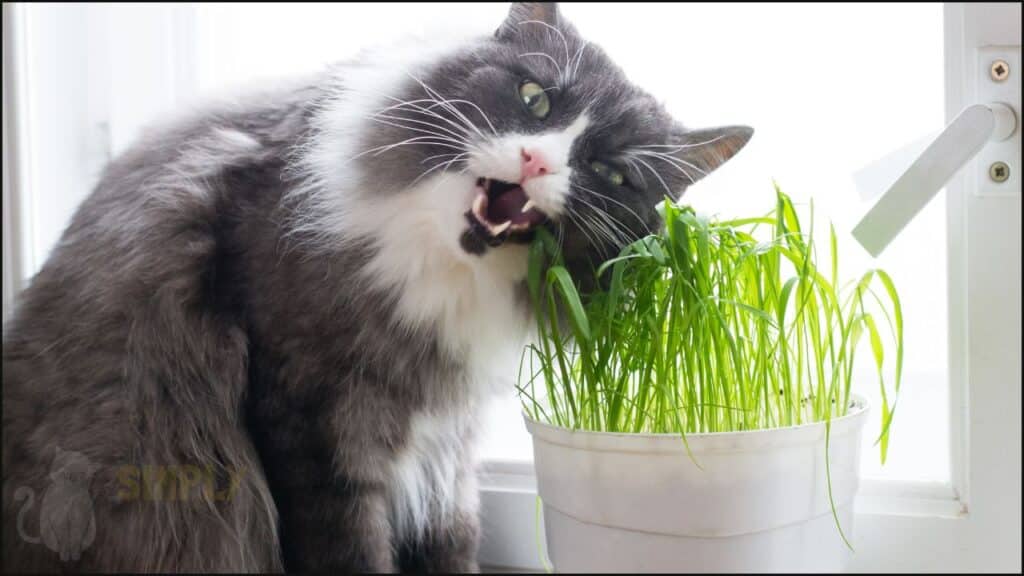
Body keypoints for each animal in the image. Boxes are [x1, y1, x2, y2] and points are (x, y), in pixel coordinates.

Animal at [2, 3, 753, 569]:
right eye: (534, 98)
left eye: (613, 173)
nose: (538, 161)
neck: (447, 272)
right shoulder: (310, 421)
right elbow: (349, 550)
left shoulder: (447, 451)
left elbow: (453, 546)